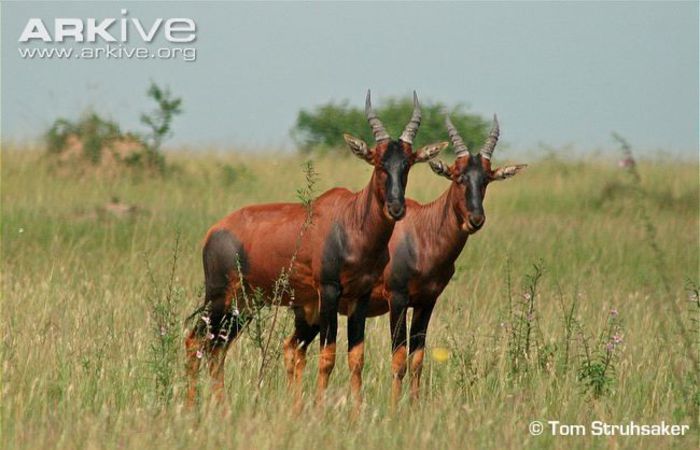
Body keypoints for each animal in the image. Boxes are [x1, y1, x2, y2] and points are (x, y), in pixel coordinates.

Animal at [185, 91, 448, 408]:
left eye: (407, 163)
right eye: (378, 162)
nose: (396, 208)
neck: (350, 220)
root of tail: (214, 231)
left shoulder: (359, 297)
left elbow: (356, 358)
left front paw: (356, 412)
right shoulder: (329, 292)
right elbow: (327, 357)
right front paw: (320, 410)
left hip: (244, 306)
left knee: (217, 349)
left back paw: (220, 407)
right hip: (219, 299)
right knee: (195, 341)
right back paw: (190, 407)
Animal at [366, 114, 524, 406]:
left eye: (486, 179)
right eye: (457, 176)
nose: (476, 219)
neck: (421, 231)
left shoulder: (427, 302)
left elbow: (417, 359)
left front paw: (414, 406)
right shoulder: (397, 300)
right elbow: (398, 360)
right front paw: (393, 408)